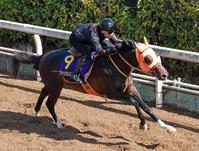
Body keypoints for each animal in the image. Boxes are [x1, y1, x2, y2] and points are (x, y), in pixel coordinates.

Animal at [15, 37, 176, 133]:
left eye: (156, 55)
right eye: (148, 58)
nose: (164, 75)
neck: (116, 65)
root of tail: (42, 56)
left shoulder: (130, 89)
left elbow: (142, 105)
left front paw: (151, 125)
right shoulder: (112, 93)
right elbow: (137, 103)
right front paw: (157, 125)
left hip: (52, 84)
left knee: (43, 92)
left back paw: (36, 112)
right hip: (56, 86)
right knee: (50, 103)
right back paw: (59, 123)